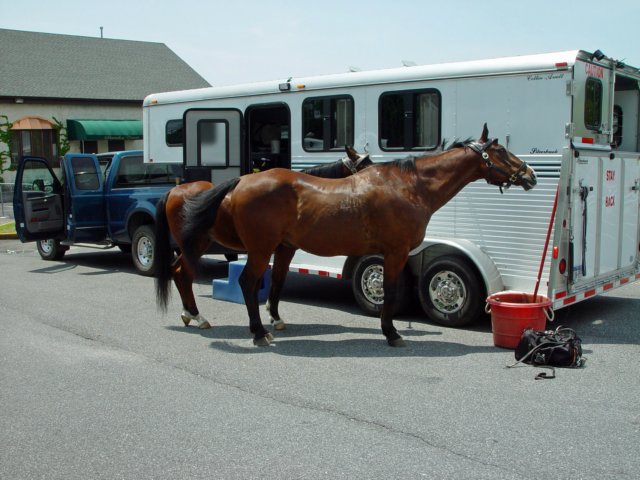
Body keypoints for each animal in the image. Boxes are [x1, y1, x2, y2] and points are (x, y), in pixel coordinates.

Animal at [155, 148, 372, 330]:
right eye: (364, 167)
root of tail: (173, 191)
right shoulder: (283, 249)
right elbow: (276, 279)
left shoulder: (283, 249)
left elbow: (278, 278)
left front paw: (275, 316)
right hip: (194, 245)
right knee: (184, 274)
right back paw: (198, 317)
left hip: (196, 246)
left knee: (179, 272)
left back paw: (189, 314)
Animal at [180, 124, 540, 344]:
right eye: (501, 152)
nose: (530, 175)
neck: (410, 187)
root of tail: (242, 181)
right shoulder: (395, 252)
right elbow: (390, 292)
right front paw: (391, 333)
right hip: (259, 249)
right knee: (246, 283)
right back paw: (257, 333)